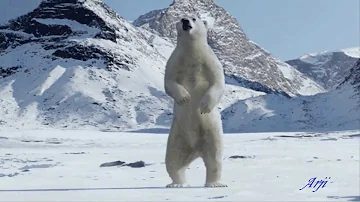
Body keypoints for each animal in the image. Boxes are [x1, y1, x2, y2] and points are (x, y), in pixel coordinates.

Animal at [165, 15, 226, 188]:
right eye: (181, 17)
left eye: (194, 18)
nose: (185, 21)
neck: (192, 52)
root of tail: (196, 151)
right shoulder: (175, 60)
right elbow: (169, 81)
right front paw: (185, 98)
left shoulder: (209, 60)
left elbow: (218, 82)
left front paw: (204, 106)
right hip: (177, 137)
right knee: (174, 161)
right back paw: (178, 184)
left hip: (212, 132)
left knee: (214, 158)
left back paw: (214, 183)